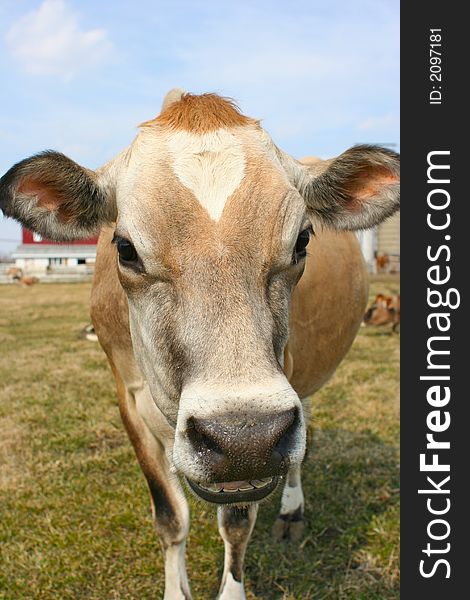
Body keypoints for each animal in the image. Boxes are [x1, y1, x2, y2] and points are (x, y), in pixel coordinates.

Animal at [0, 90, 400, 600]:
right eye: (124, 248)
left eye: (302, 240)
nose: (244, 437)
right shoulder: (128, 401)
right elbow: (170, 518)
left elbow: (237, 523)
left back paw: (291, 510)